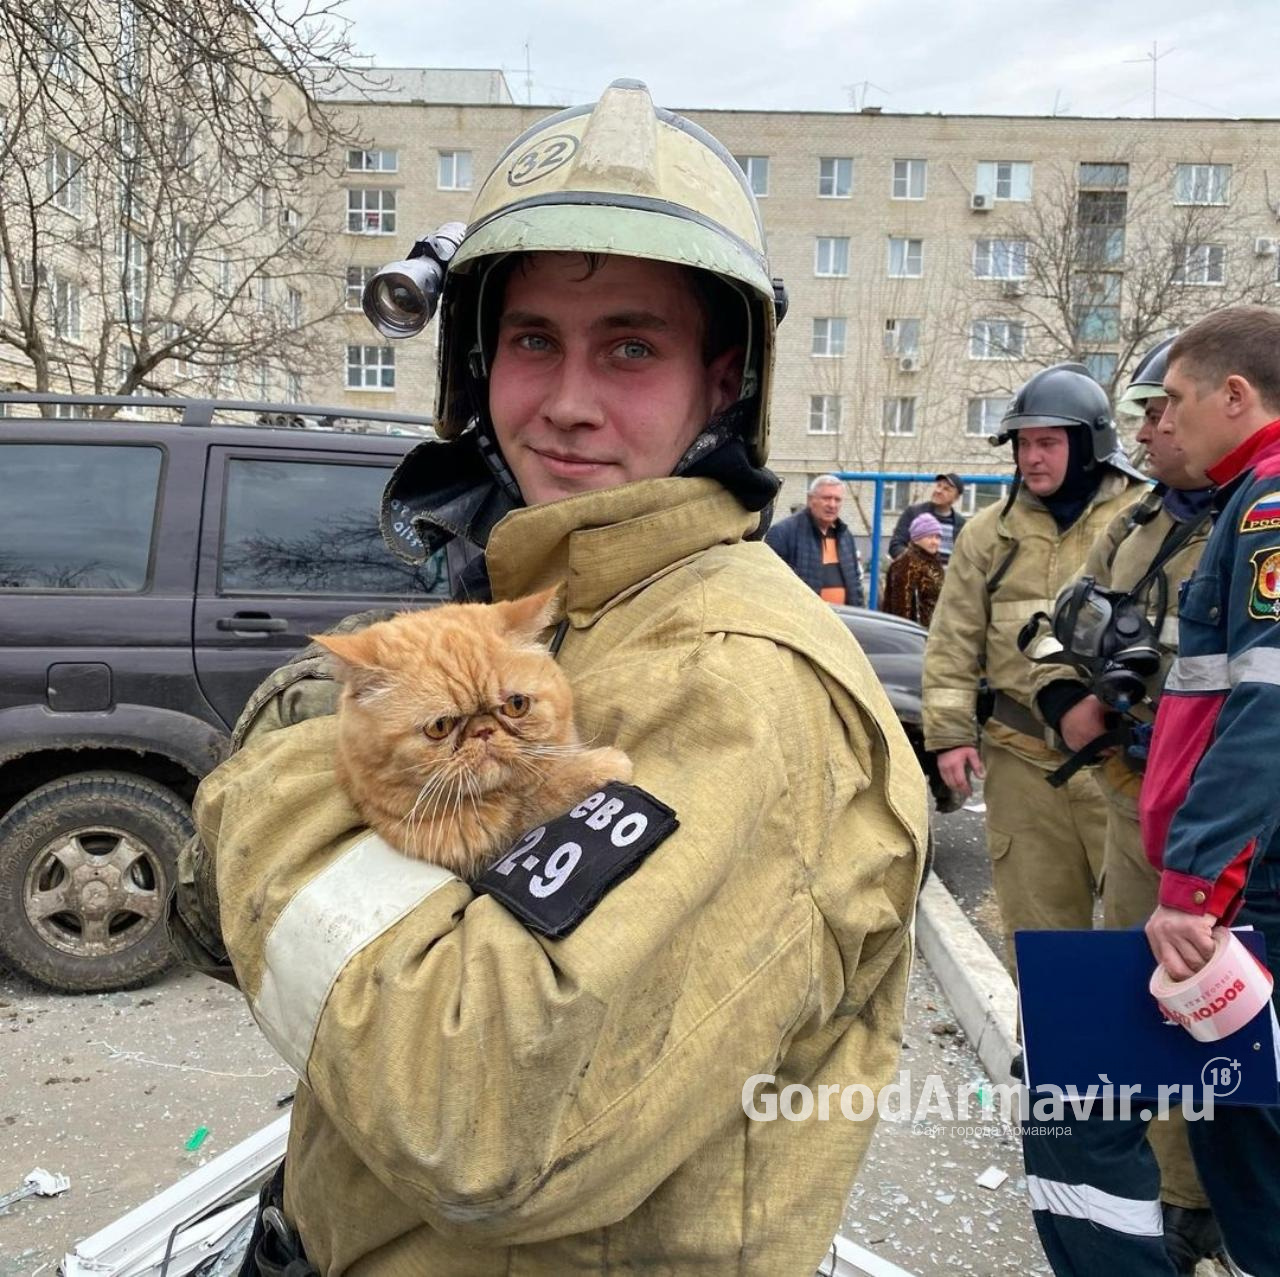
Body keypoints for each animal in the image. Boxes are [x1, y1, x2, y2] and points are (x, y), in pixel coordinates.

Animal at [311, 591, 629, 880]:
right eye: (440, 726)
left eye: (516, 705)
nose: (483, 730)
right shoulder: (501, 838)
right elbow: (541, 798)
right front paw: (599, 766)